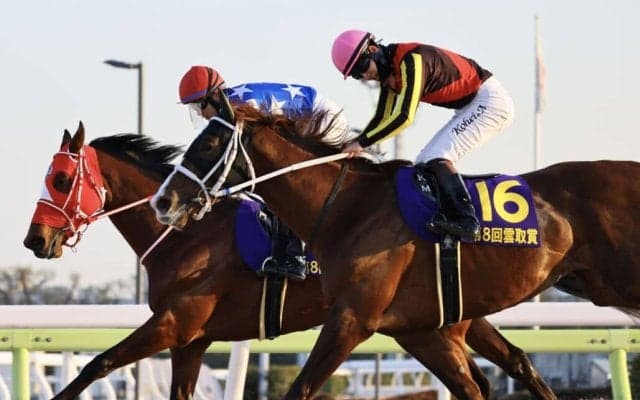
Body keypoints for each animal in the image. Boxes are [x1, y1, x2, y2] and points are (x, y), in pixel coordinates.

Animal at [21, 123, 555, 400]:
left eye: (62, 180)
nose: (34, 239)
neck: (186, 235)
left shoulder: (175, 322)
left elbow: (98, 363)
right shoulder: (192, 340)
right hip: (450, 318)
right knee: (511, 364)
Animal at [150, 100, 640, 400]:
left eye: (210, 144)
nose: (163, 201)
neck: (348, 207)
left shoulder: (353, 318)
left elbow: (301, 389)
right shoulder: (419, 329)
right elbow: (474, 387)